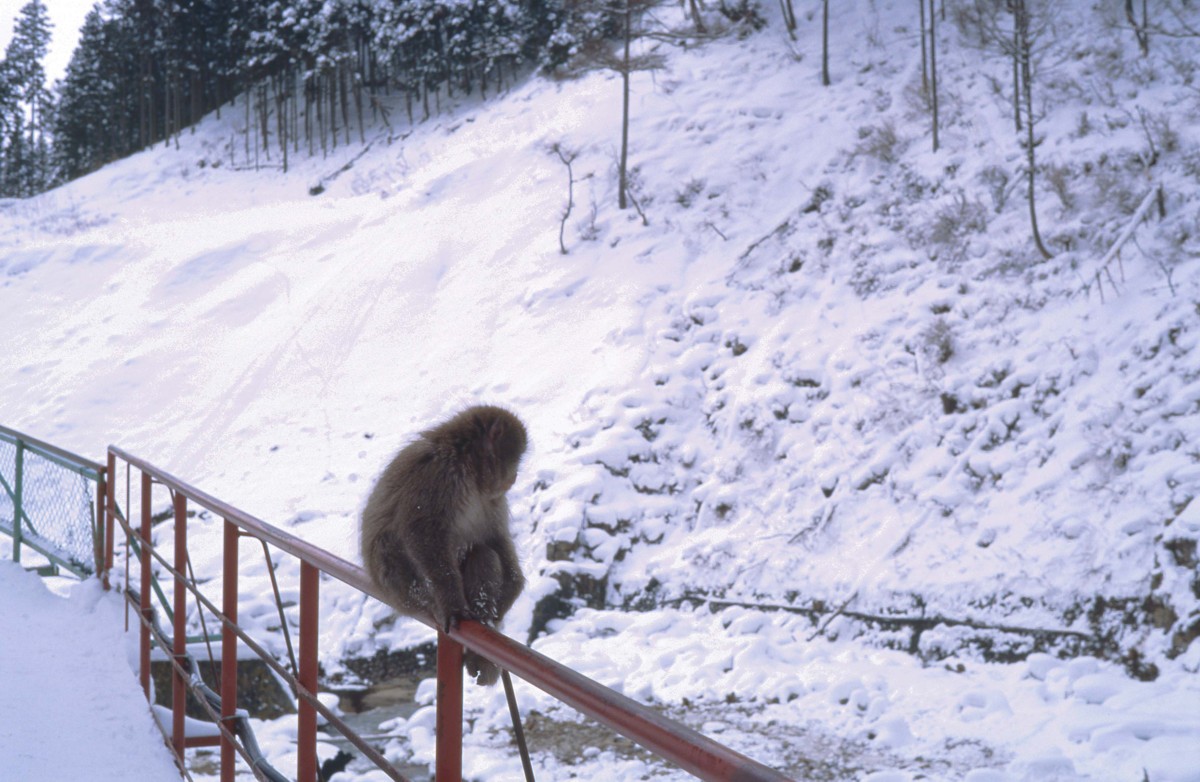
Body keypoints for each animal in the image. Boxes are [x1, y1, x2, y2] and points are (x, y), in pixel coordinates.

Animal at [355, 402, 525, 686]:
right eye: (517, 458)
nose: (515, 476)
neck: (466, 467)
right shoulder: (438, 475)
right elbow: (423, 534)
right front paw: (453, 606)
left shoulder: (492, 498)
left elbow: (494, 537)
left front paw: (514, 586)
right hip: (407, 590)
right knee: (392, 547)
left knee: (484, 554)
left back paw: (484, 621)